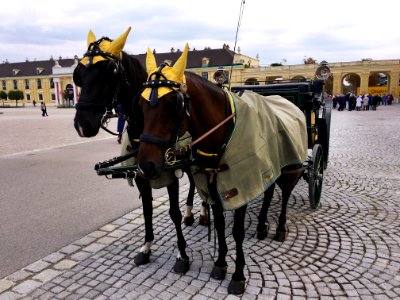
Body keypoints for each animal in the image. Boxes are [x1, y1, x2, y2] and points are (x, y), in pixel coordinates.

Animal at [136, 44, 308, 296]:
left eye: (172, 104)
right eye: (140, 104)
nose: (144, 165)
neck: (223, 132)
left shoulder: (242, 185)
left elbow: (236, 231)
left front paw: (238, 275)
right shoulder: (213, 185)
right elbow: (218, 223)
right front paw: (220, 263)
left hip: (291, 168)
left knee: (285, 193)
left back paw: (279, 228)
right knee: (268, 191)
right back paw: (262, 225)